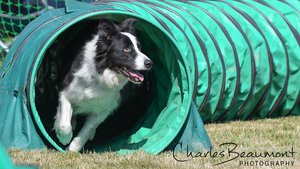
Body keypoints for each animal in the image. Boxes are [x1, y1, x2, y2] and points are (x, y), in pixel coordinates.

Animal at [54, 18, 152, 152]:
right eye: (126, 49)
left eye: (139, 47)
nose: (150, 63)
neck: (100, 76)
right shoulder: (66, 92)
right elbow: (64, 123)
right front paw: (64, 137)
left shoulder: (103, 109)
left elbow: (85, 132)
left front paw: (71, 150)